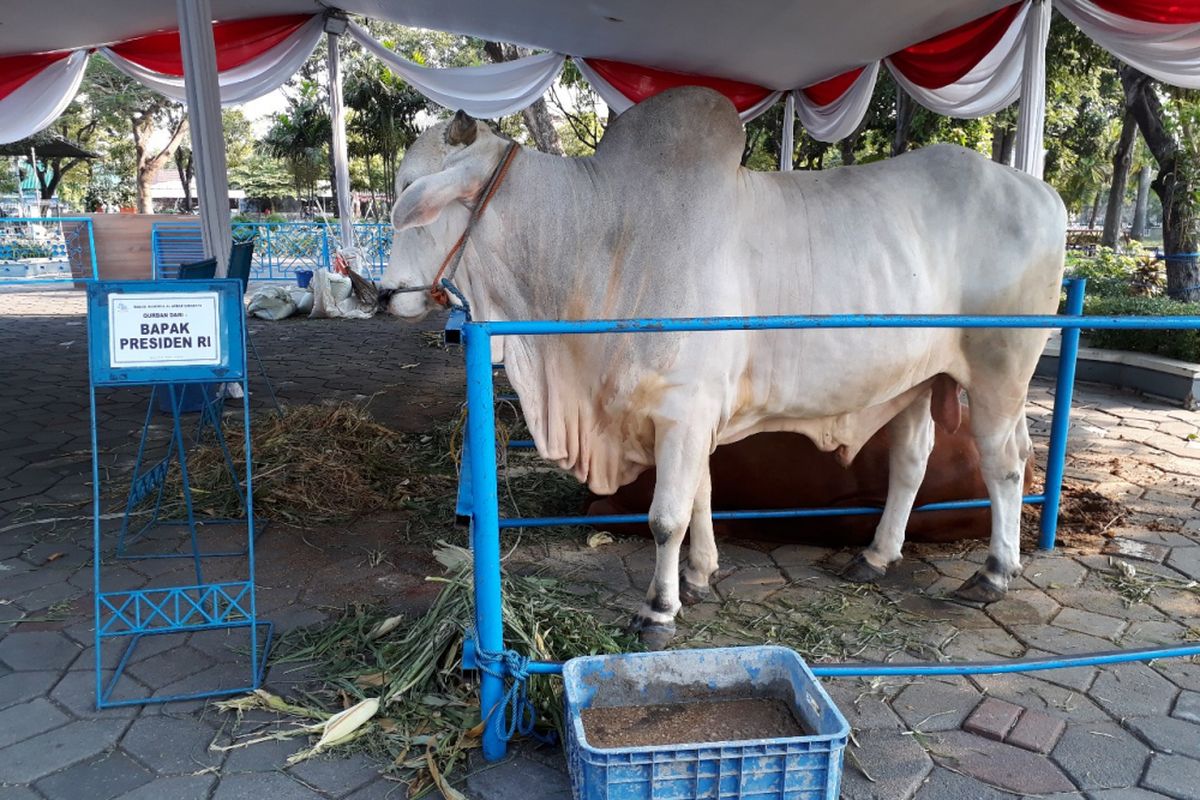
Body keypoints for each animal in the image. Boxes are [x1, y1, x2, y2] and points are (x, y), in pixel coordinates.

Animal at [379, 87, 1065, 647]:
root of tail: (1040, 193)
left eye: (408, 193)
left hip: (1002, 371)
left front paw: (659, 608)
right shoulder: (694, 413)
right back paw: (875, 555)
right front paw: (700, 574)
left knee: (1005, 463)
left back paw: (993, 574)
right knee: (912, 461)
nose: (378, 293)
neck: (602, 237)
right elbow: (702, 495)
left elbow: (666, 516)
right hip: (920, 381)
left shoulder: (682, 409)